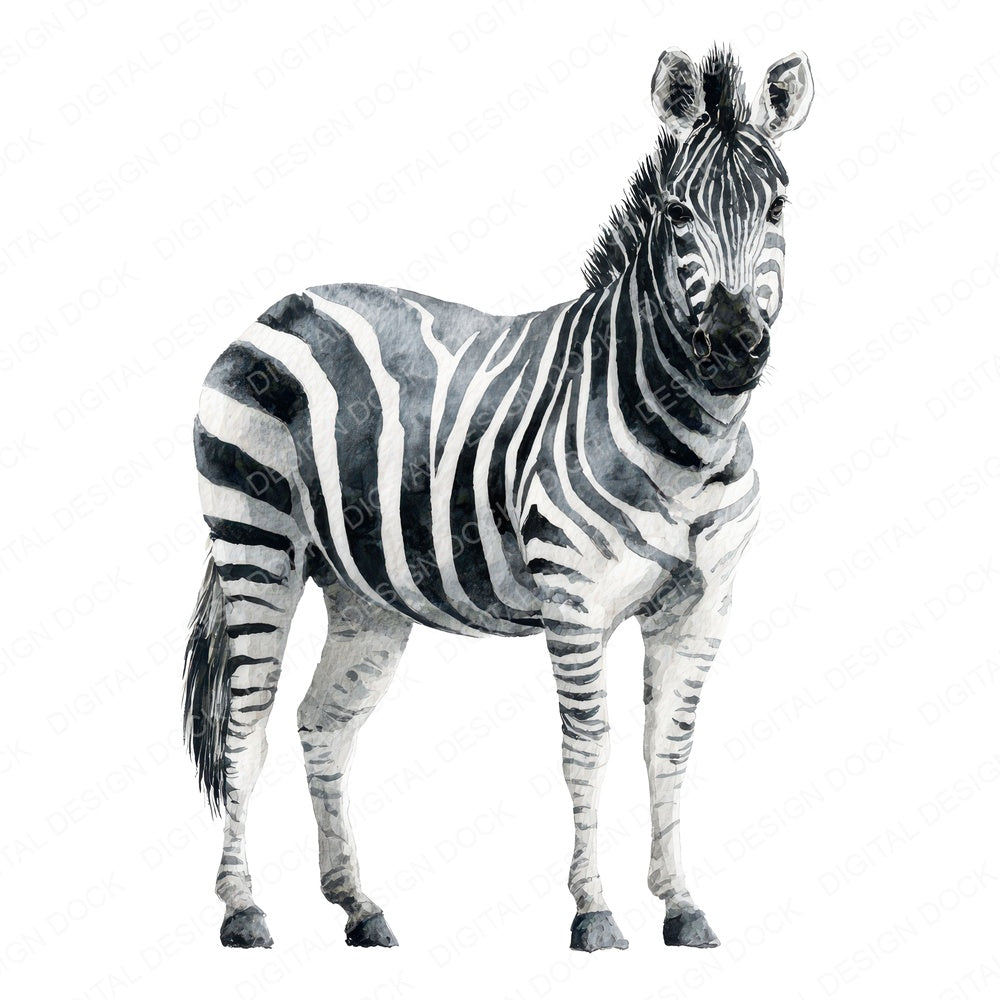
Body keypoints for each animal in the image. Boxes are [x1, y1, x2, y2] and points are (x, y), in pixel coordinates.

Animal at [184, 45, 814, 953]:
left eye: (778, 206)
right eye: (676, 212)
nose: (732, 348)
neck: (695, 441)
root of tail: (282, 305)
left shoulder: (705, 605)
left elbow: (669, 747)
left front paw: (684, 906)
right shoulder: (574, 598)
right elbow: (589, 746)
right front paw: (595, 913)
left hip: (362, 588)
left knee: (322, 724)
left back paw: (359, 906)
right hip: (256, 543)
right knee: (245, 725)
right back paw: (243, 911)